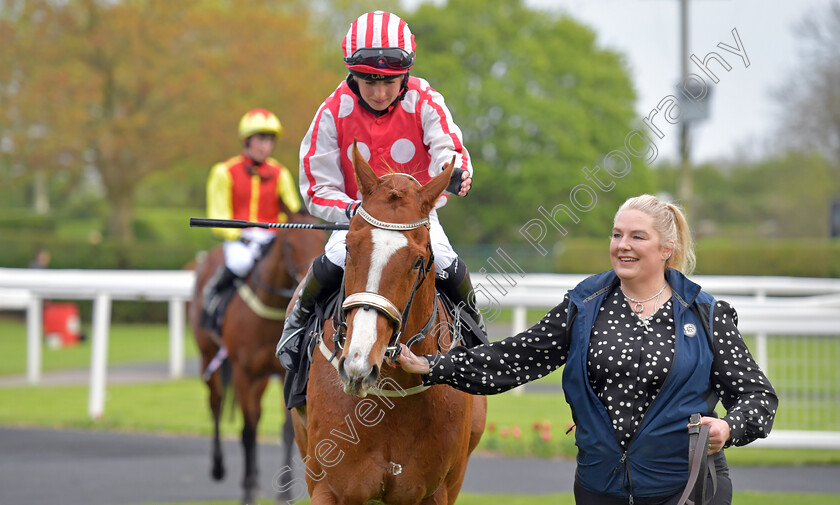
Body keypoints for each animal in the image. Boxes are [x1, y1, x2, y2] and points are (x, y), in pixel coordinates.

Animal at [189, 213, 324, 504]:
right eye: (290, 243)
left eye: (321, 238)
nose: (308, 279)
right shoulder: (244, 373)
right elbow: (248, 431)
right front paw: (248, 490)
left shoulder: (280, 374)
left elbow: (286, 431)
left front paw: (284, 491)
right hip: (208, 355)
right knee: (216, 404)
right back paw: (218, 466)